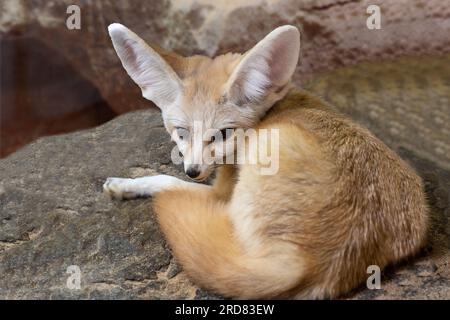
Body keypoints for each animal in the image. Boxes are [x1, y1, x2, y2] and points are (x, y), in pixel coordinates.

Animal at [103, 23, 428, 298]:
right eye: (181, 133)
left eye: (223, 134)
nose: (193, 170)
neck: (276, 105)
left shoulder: (221, 190)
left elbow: (165, 179)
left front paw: (127, 183)